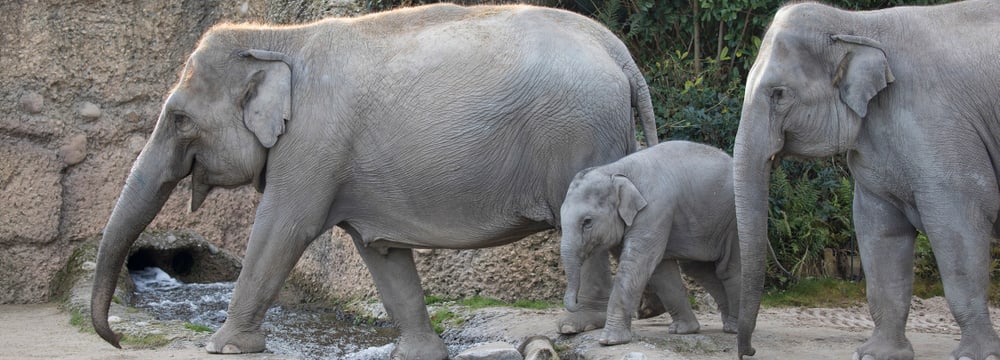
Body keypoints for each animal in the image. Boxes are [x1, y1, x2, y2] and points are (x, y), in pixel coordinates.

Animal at [90, 3, 660, 360]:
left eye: (179, 118)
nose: (116, 342)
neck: (278, 38)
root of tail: (619, 51)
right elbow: (380, 251)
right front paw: (419, 353)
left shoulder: (313, 144)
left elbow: (282, 229)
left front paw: (222, 346)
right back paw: (643, 313)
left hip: (578, 134)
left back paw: (580, 326)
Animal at [560, 139, 740, 344]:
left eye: (587, 222)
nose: (575, 303)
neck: (614, 170)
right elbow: (662, 272)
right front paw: (683, 330)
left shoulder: (654, 210)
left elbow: (637, 264)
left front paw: (609, 340)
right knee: (700, 270)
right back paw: (724, 324)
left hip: (733, 220)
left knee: (728, 269)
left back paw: (734, 328)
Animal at [736, 1, 1000, 358]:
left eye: (779, 94)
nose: (748, 351)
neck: (859, 24)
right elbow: (879, 230)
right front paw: (875, 354)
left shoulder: (942, 129)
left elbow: (958, 225)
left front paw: (975, 356)